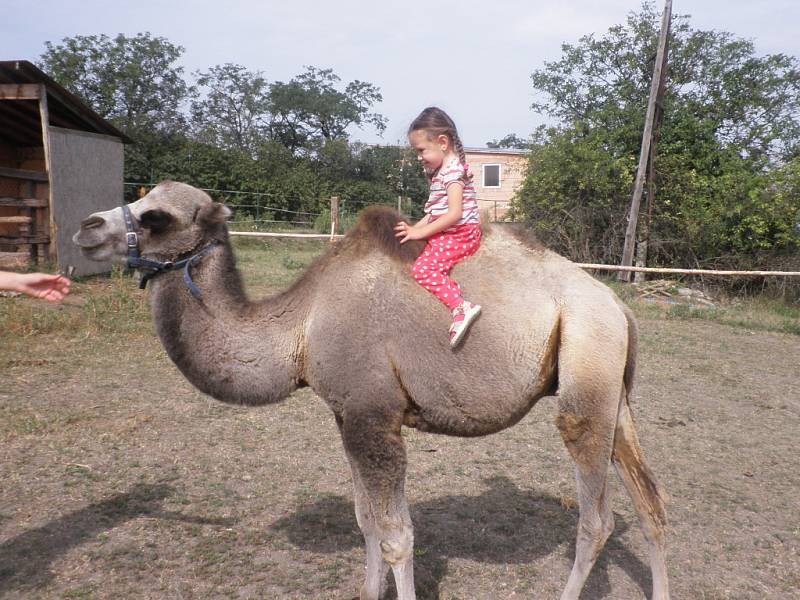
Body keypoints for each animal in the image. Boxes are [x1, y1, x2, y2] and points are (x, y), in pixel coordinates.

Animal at [73, 182, 668, 600]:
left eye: (156, 217)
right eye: (142, 195)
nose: (86, 226)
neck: (301, 327)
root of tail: (620, 307)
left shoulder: (374, 413)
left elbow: (397, 534)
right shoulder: (346, 413)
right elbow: (367, 522)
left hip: (587, 369)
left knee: (596, 519)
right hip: (614, 388)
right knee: (651, 506)